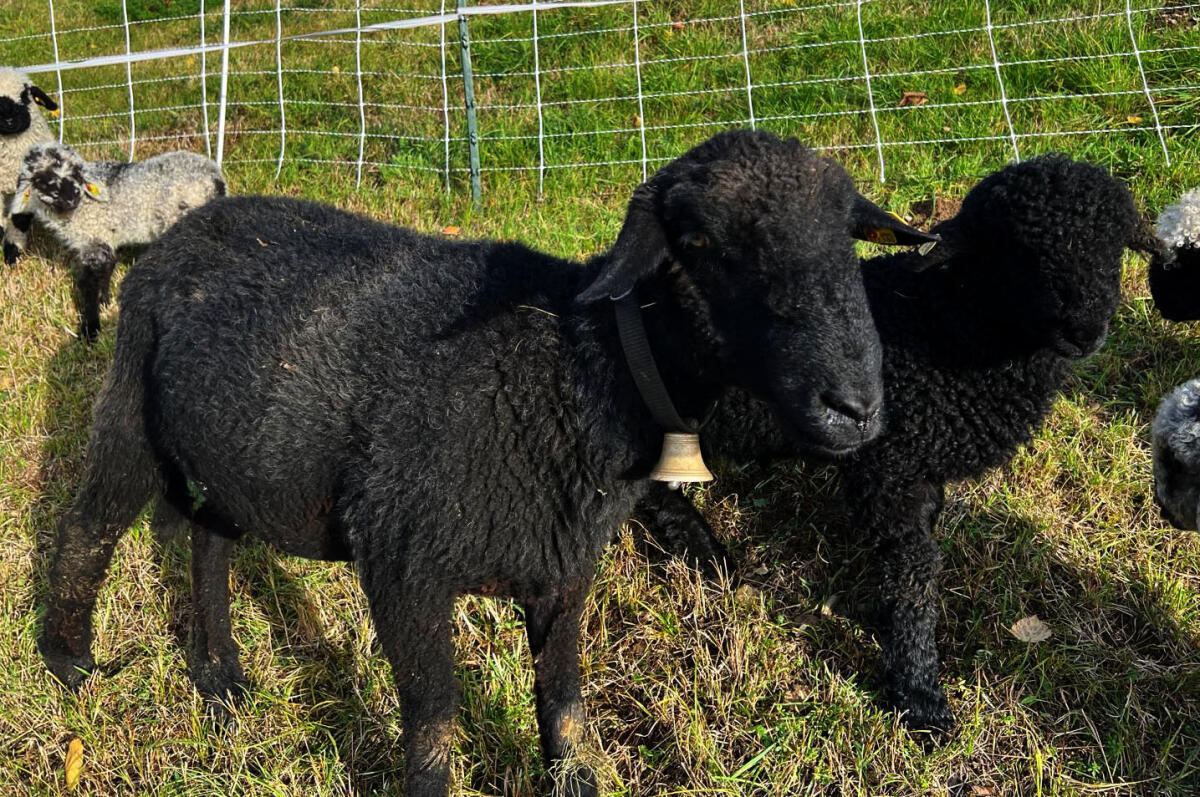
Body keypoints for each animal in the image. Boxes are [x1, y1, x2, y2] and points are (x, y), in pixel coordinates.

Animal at [4, 141, 225, 341]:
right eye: (39, 179)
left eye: (76, 171)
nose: (71, 197)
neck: (79, 209)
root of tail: (215, 179)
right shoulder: (103, 241)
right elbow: (106, 270)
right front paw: (104, 302)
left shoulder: (94, 240)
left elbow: (88, 284)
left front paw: (90, 330)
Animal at [37, 129, 941, 796]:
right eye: (702, 241)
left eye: (847, 241)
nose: (856, 405)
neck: (574, 370)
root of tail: (186, 228)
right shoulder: (402, 562)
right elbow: (435, 721)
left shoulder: (564, 565)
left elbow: (566, 700)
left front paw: (575, 780)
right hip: (131, 403)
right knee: (90, 525)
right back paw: (71, 663)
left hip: (242, 450)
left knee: (208, 538)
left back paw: (220, 679)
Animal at [635, 155, 1147, 735]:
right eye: (1018, 251)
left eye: (1117, 247)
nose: (1086, 331)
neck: (941, 324)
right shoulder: (888, 467)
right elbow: (914, 567)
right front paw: (920, 694)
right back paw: (703, 551)